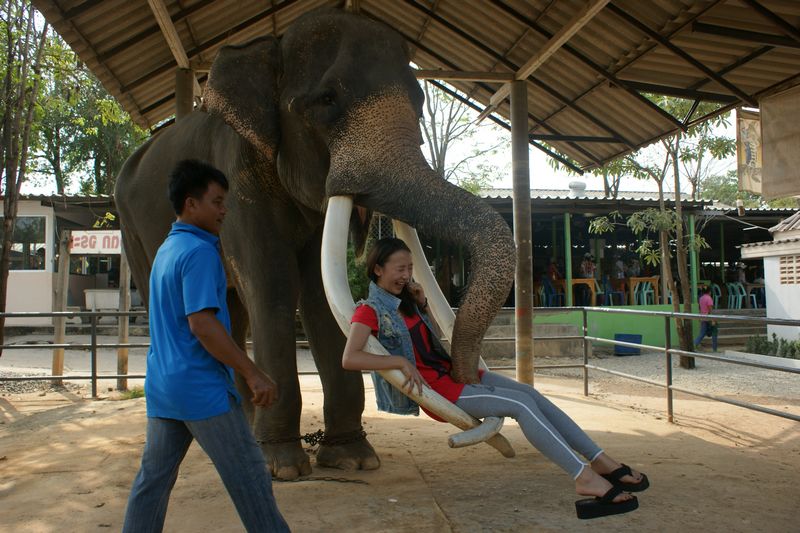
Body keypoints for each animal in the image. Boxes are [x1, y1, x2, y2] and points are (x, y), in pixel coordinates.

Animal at [114, 5, 512, 478]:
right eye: (326, 100)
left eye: (420, 102)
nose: (463, 376)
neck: (271, 48)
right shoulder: (238, 177)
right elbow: (274, 284)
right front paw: (283, 467)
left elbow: (320, 297)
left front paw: (353, 459)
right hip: (132, 226)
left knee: (231, 314)